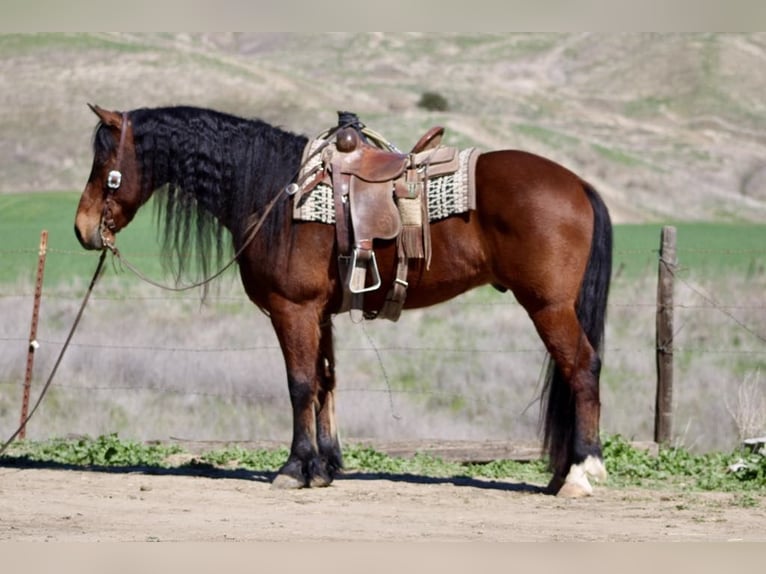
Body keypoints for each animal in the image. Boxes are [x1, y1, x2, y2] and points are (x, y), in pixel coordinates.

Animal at [75, 104, 616, 500]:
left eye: (106, 166)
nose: (82, 229)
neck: (277, 193)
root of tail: (578, 184)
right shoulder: (319, 314)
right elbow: (324, 384)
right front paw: (324, 467)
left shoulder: (292, 309)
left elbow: (298, 385)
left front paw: (294, 468)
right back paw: (561, 474)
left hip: (549, 308)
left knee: (582, 369)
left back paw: (581, 473)